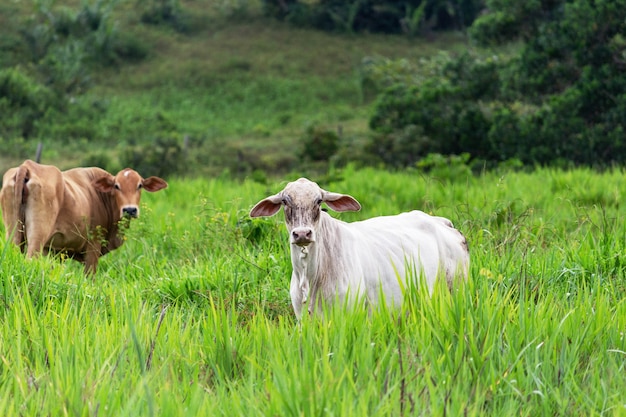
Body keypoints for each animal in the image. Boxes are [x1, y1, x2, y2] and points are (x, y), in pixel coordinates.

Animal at [0, 159, 168, 272]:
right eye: (116, 186)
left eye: (139, 185)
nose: (130, 210)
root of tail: (27, 166)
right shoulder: (93, 246)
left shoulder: (53, 250)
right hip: (37, 236)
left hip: (13, 235)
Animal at [249, 177, 468, 316]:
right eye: (285, 201)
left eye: (319, 201)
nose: (302, 234)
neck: (311, 278)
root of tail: (443, 222)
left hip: (455, 289)